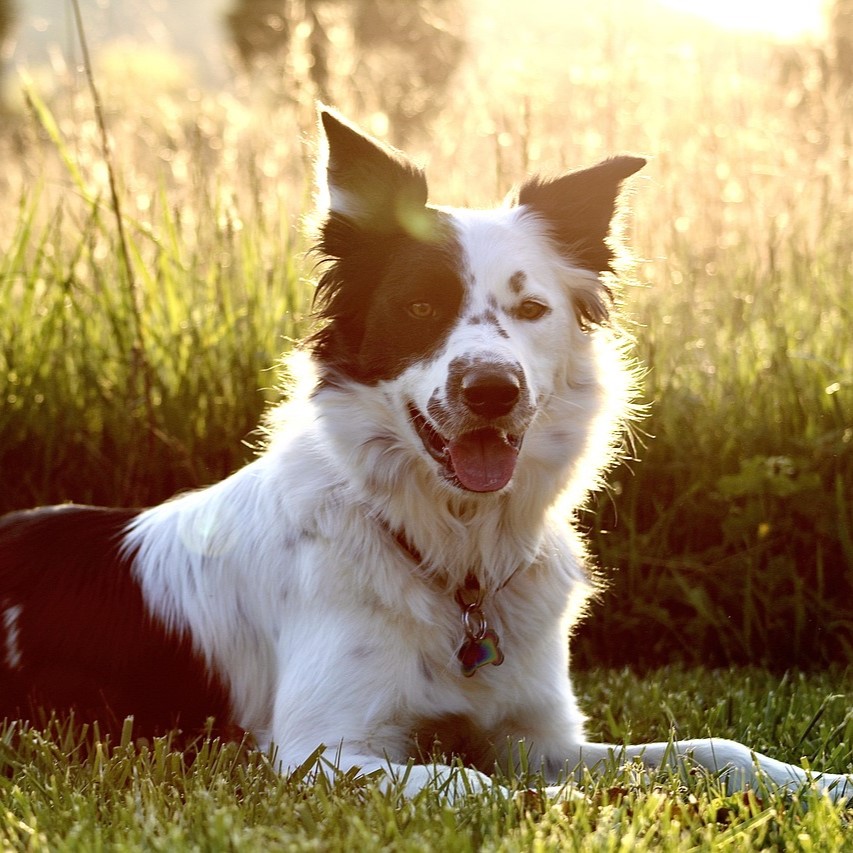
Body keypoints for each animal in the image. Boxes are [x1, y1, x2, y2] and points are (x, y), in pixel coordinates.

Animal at [0, 110, 848, 804]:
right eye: (417, 307)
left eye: (530, 308)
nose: (492, 390)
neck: (453, 555)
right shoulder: (321, 751)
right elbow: (469, 781)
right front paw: (569, 808)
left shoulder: (540, 736)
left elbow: (712, 747)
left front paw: (819, 782)